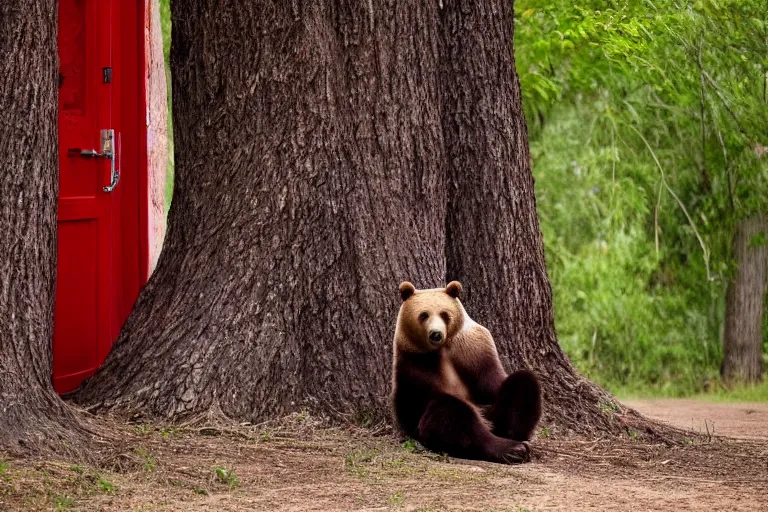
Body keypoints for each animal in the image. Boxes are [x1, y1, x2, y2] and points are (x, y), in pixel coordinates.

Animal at [390, 280, 540, 464]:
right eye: (424, 315)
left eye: (444, 314)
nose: (436, 334)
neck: (442, 349)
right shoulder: (414, 363)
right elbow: (421, 399)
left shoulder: (473, 347)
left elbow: (492, 382)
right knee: (450, 415)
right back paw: (512, 448)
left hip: (490, 413)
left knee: (523, 383)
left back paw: (515, 436)